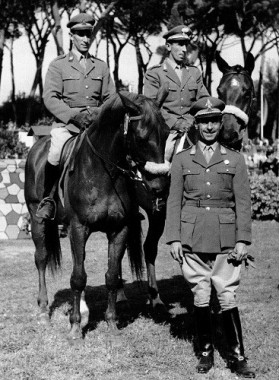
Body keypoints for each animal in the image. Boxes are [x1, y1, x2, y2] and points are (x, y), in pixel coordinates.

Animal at [25, 90, 170, 342]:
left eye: (167, 133)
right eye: (141, 137)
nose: (160, 187)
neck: (104, 172)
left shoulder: (119, 229)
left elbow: (111, 275)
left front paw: (111, 323)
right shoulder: (78, 227)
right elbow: (77, 278)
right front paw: (74, 328)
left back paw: (83, 310)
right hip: (37, 220)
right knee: (41, 259)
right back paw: (44, 310)